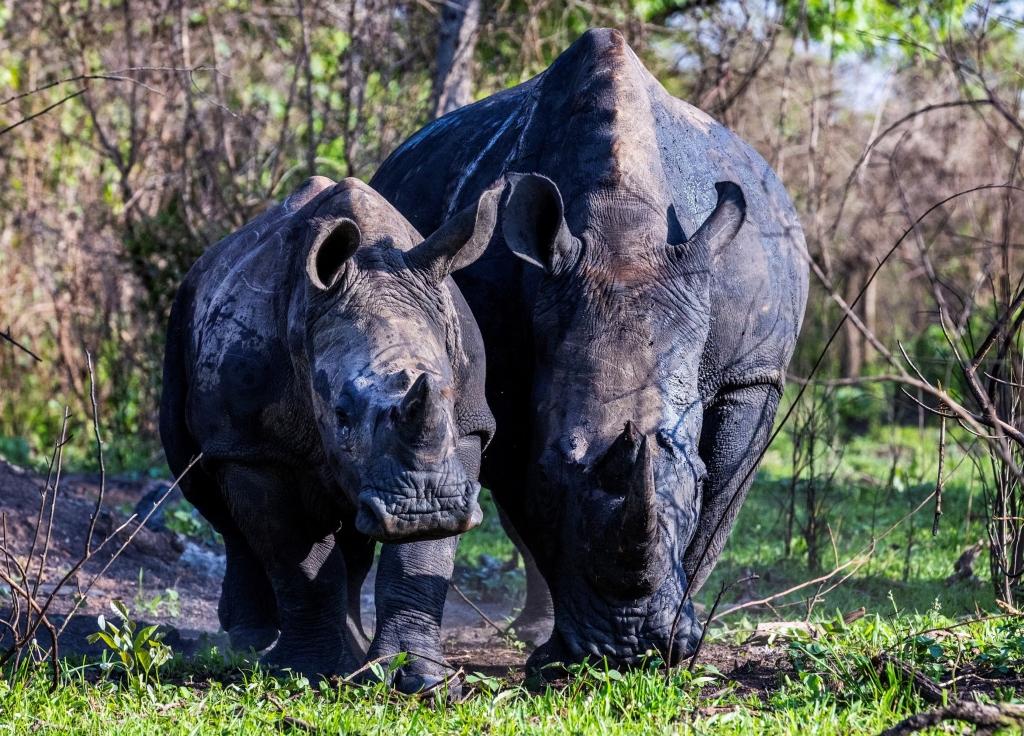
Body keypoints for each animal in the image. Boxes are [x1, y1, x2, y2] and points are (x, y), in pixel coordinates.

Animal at [160, 176, 497, 683]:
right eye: (340, 414)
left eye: (449, 395)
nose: (423, 509)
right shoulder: (252, 447)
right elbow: (294, 555)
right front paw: (310, 672)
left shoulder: (466, 431)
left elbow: (423, 557)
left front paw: (421, 680)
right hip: (183, 322)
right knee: (211, 499)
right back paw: (246, 646)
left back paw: (354, 651)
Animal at [371, 28, 808, 670]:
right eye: (552, 469)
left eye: (698, 476)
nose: (627, 650)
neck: (621, 235)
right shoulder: (502, 361)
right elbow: (525, 494)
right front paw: (560, 655)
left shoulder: (749, 374)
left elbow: (719, 503)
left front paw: (680, 643)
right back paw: (533, 633)